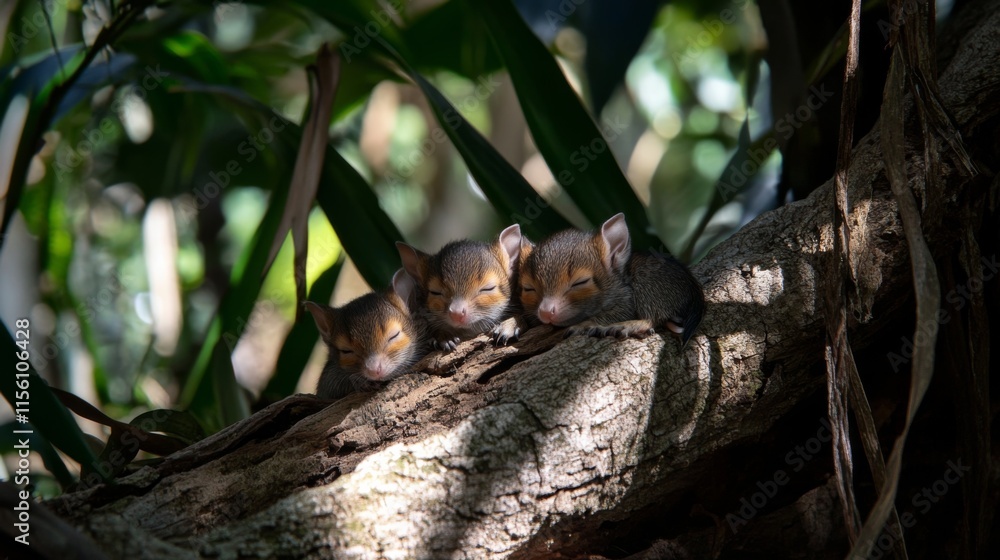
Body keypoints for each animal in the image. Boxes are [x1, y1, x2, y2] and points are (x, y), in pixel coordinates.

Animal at [519, 213, 705, 343]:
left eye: (580, 282)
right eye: (528, 288)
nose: (545, 312)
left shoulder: (625, 301)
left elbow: (617, 313)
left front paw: (584, 324)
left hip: (649, 286)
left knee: (652, 318)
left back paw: (627, 326)